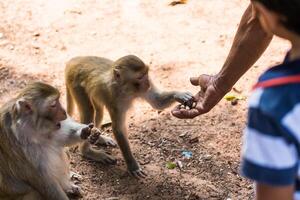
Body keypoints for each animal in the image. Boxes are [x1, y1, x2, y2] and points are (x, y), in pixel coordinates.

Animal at [64, 54, 193, 178]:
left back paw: (97, 137)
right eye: (140, 77)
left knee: (98, 110)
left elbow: (157, 102)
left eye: (146, 74)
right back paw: (87, 151)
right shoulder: (114, 98)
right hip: (76, 84)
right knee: (89, 110)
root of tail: (73, 61)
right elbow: (118, 128)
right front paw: (133, 165)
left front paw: (180, 94)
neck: (126, 89)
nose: (148, 83)